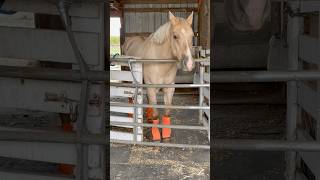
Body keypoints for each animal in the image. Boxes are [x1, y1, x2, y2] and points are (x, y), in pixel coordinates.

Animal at [123, 11, 195, 141]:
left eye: (192, 36)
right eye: (175, 36)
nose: (189, 64)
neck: (160, 61)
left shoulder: (169, 88)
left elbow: (167, 113)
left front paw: (166, 134)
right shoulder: (151, 87)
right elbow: (157, 114)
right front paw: (155, 135)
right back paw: (131, 114)